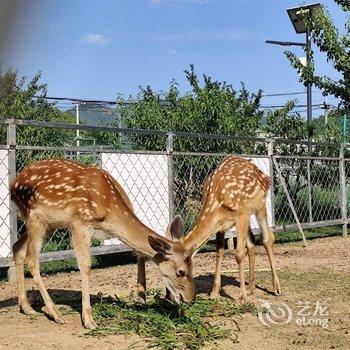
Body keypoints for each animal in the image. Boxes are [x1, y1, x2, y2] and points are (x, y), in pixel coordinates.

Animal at [10, 159, 197, 328]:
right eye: (181, 271)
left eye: (193, 266)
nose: (191, 299)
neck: (109, 210)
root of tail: (13, 185)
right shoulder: (79, 222)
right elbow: (85, 266)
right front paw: (89, 320)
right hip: (36, 218)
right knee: (32, 258)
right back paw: (56, 314)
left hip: (48, 224)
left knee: (17, 248)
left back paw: (26, 307)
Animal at [180, 156, 282, 300]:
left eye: (180, 271)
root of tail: (263, 175)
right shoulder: (220, 225)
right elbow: (219, 252)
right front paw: (214, 293)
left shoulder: (241, 213)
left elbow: (238, 254)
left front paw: (241, 297)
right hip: (247, 216)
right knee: (251, 244)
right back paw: (251, 287)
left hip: (259, 205)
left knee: (267, 239)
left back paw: (276, 288)